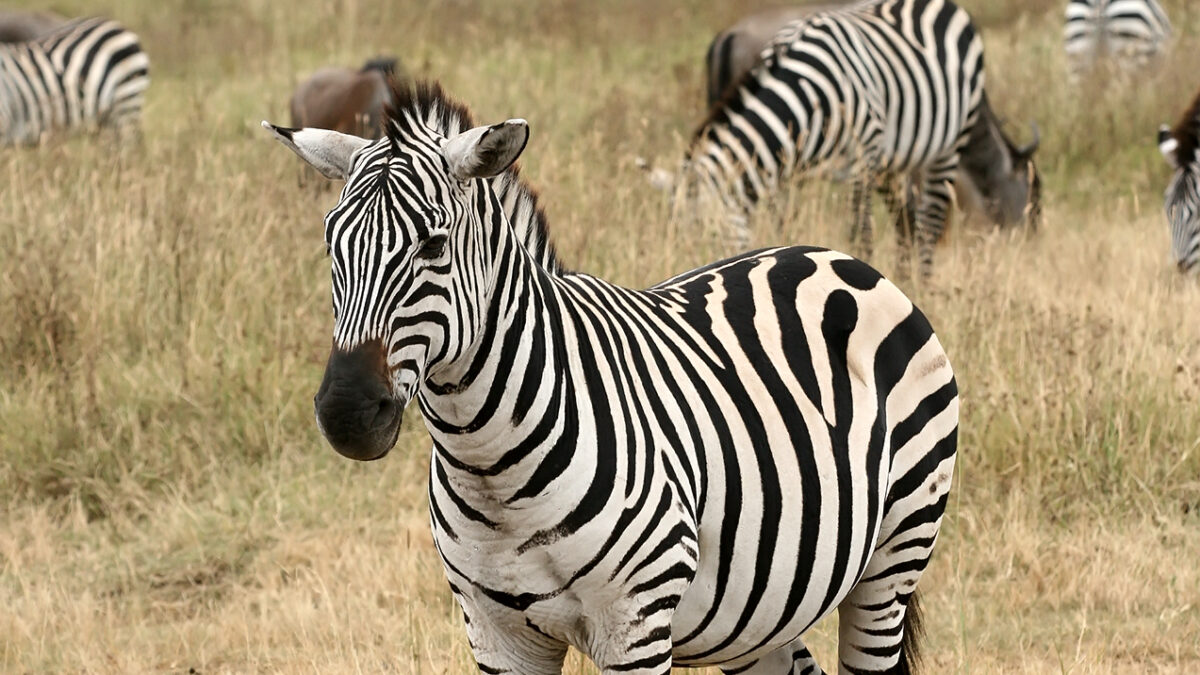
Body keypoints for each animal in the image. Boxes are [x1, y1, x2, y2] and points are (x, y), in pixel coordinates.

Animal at [262, 80, 959, 674]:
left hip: (895, 554)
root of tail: (836, 257)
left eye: (433, 246)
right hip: (765, 608)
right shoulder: (495, 635)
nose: (347, 414)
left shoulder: (636, 624)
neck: (489, 466)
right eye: (330, 242)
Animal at [653, 0, 987, 277]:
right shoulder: (787, 169)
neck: (808, 98)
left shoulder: (863, 155)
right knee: (907, 215)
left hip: (950, 143)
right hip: (896, 158)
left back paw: (923, 283)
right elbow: (785, 224)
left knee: (931, 219)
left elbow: (861, 232)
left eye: (704, 236)